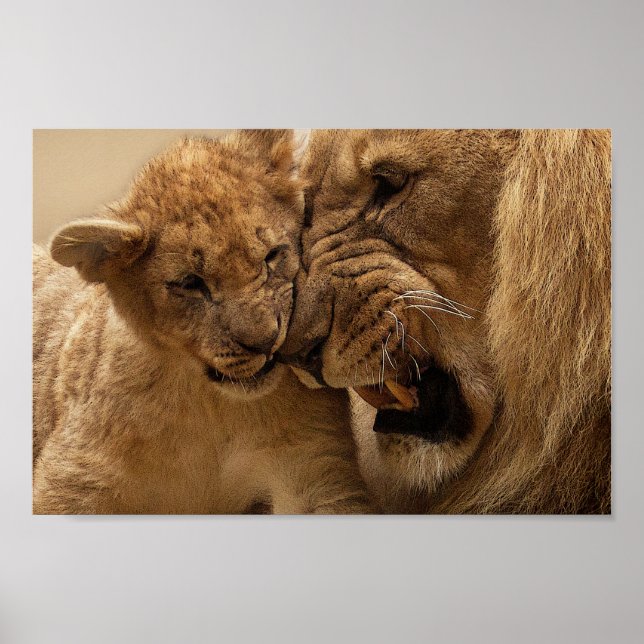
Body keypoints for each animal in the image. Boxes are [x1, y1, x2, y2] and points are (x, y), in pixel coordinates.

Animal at [33, 129, 371, 514]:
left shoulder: (313, 467)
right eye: (190, 283)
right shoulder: (76, 479)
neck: (212, 406)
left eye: (272, 255)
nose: (266, 342)